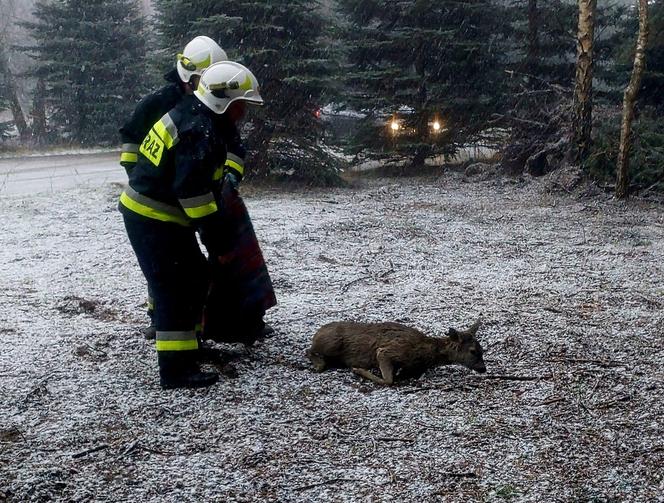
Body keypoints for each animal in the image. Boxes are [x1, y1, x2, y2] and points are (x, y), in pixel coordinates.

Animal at [308, 318, 488, 386]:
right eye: (473, 351)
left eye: (482, 350)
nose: (483, 368)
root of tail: (317, 333)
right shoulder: (387, 351)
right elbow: (388, 381)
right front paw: (358, 370)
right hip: (331, 343)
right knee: (308, 350)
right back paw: (319, 364)